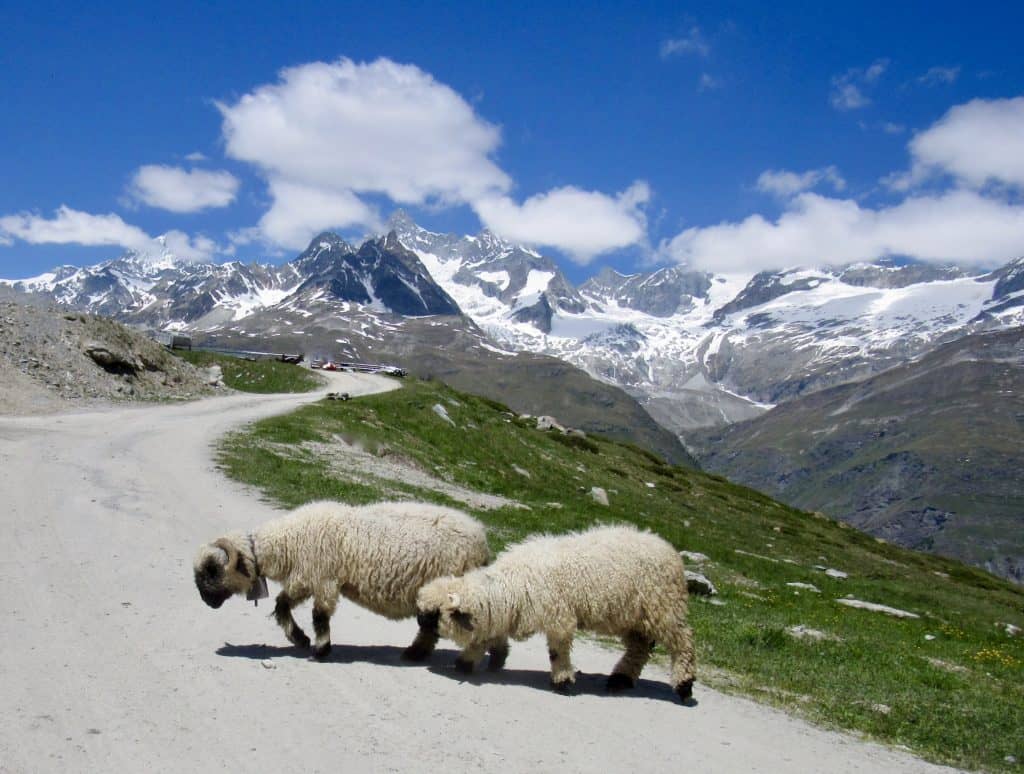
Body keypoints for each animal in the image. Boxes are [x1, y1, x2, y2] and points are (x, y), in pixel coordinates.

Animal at [192, 501, 503, 663]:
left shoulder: (323, 579)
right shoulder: (306, 578)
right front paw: (299, 638)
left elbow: (319, 616)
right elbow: (282, 605)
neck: (287, 542)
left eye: (211, 571)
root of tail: (482, 541)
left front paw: (320, 649)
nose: (206, 601)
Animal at [415, 524, 696, 700]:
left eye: (435, 614)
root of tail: (667, 546)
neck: (511, 585)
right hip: (633, 618)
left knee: (683, 643)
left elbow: (557, 651)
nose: (417, 619)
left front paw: (563, 681)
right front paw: (465, 663)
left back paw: (684, 686)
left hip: (665, 608)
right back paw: (621, 680)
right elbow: (483, 639)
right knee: (639, 648)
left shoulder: (559, 617)